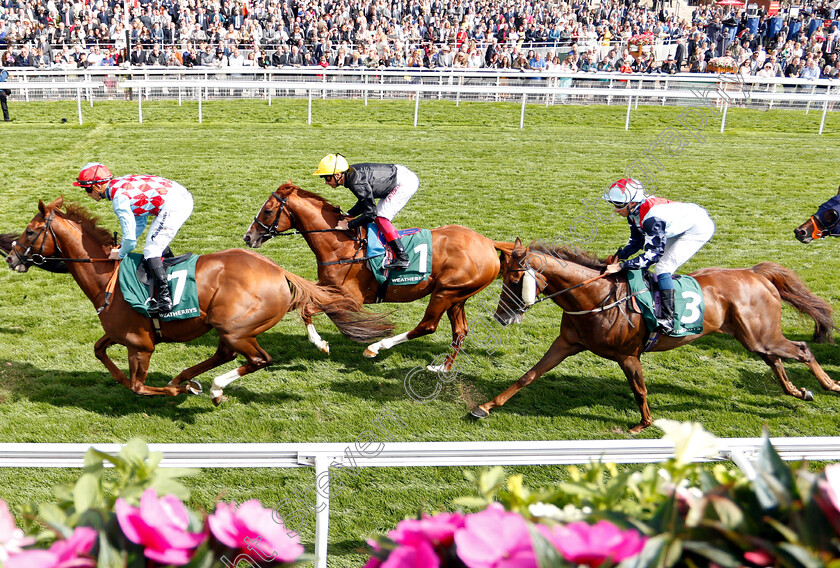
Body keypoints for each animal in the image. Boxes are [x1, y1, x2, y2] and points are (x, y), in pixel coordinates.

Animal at [6, 200, 394, 404]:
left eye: (29, 231)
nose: (10, 257)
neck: (108, 277)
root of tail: (277, 269)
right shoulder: (120, 334)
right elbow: (100, 351)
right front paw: (137, 380)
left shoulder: (140, 344)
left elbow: (139, 385)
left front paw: (178, 390)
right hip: (229, 326)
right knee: (226, 355)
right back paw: (194, 379)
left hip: (237, 327)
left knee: (257, 359)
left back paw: (210, 386)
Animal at [240, 180, 508, 370]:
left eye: (268, 211)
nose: (248, 237)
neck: (340, 244)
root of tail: (488, 243)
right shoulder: (324, 286)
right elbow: (301, 304)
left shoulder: (351, 299)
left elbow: (308, 308)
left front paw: (321, 344)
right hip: (457, 297)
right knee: (460, 331)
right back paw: (442, 368)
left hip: (445, 292)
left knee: (427, 325)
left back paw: (376, 347)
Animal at [476, 239, 836, 430]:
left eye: (514, 280)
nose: (501, 317)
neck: (596, 296)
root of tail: (754, 273)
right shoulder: (566, 343)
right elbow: (528, 376)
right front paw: (485, 406)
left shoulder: (627, 356)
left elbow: (639, 390)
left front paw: (644, 423)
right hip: (752, 337)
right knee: (775, 360)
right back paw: (799, 391)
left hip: (761, 335)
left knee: (801, 349)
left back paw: (830, 385)